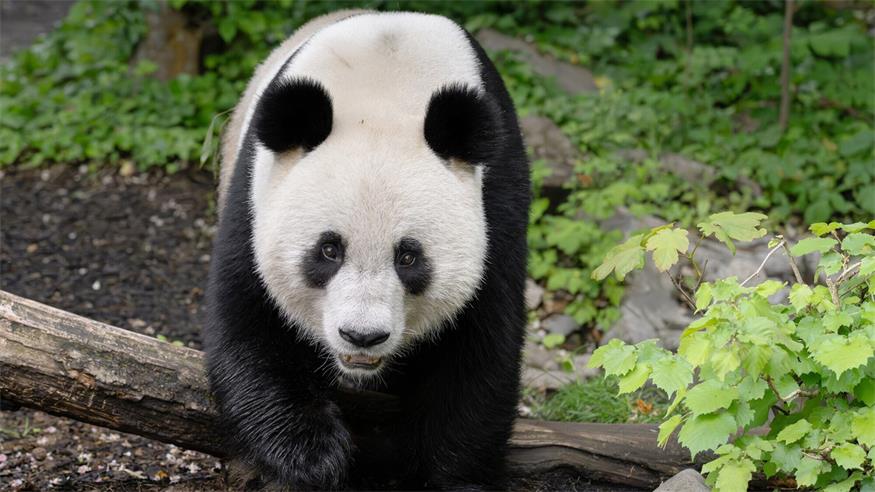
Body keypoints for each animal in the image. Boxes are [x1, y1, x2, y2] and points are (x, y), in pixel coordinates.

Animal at [204, 9, 530, 490]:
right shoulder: (254, 197)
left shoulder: (496, 200)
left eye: (408, 257)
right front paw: (312, 455)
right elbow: (249, 320)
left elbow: (479, 350)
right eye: (328, 251)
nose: (362, 336)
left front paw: (450, 476)